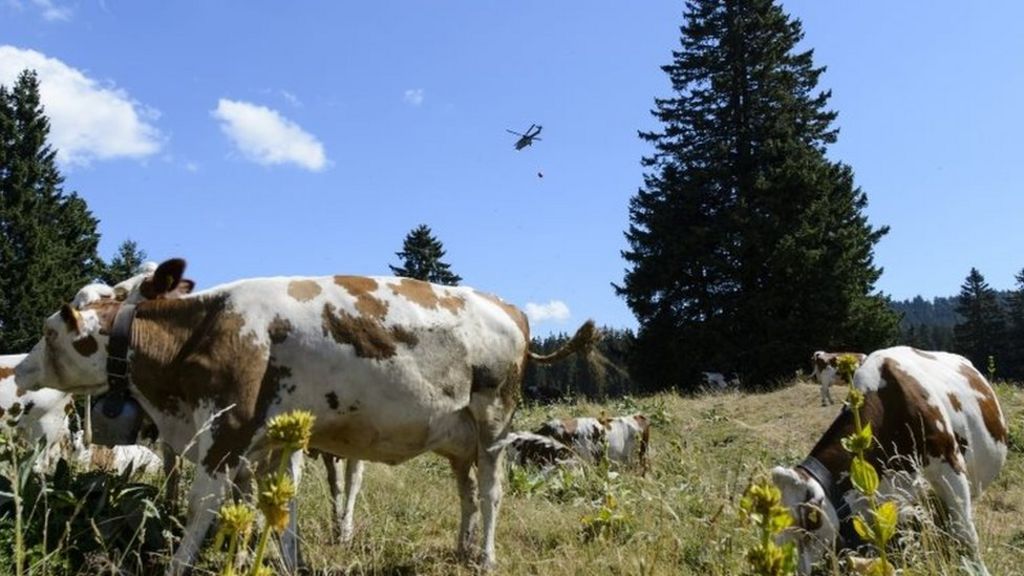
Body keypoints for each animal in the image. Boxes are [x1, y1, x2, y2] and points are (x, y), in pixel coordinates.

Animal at [15, 258, 597, 574]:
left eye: (49, 333)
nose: (18, 370)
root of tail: (507, 306)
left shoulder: (225, 431)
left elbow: (205, 511)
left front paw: (181, 565)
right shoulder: (266, 442)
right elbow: (276, 511)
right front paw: (279, 561)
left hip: (495, 421)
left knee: (492, 493)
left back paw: (487, 558)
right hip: (460, 438)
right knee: (467, 493)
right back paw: (461, 549)